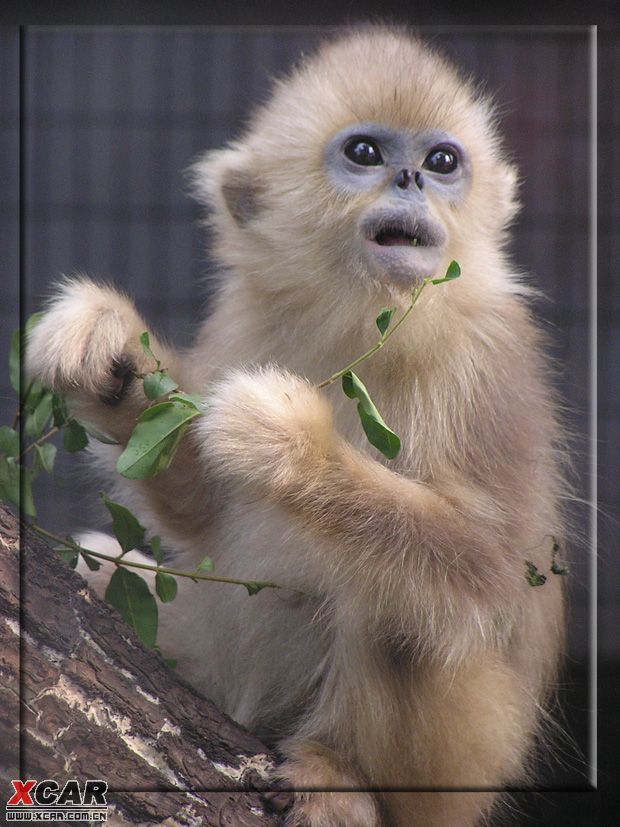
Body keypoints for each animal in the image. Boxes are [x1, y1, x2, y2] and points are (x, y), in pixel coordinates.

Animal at [29, 25, 568, 827]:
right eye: (365, 153)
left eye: (443, 161)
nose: (410, 177)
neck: (363, 315)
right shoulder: (246, 319)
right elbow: (201, 506)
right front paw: (107, 341)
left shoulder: (489, 358)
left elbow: (493, 570)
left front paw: (293, 449)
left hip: (466, 759)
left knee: (400, 605)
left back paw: (337, 774)